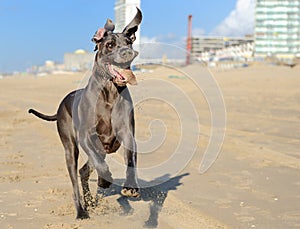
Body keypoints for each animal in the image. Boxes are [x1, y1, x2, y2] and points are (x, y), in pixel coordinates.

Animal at [27, 8, 142, 219]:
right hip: (71, 148)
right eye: (110, 45)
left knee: (84, 171)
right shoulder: (86, 136)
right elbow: (100, 166)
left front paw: (131, 187)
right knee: (76, 178)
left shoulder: (127, 134)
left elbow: (130, 159)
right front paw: (105, 180)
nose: (129, 53)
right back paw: (82, 210)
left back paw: (90, 201)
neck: (110, 92)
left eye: (129, 42)